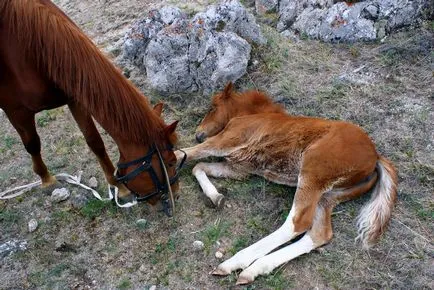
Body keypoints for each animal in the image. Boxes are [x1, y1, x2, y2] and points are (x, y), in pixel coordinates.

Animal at [0, 1, 180, 207]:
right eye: (171, 162)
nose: (176, 195)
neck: (33, 52)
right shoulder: (17, 111)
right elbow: (33, 144)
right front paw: (46, 179)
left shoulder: (75, 97)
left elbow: (95, 142)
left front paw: (121, 188)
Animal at [178, 82, 398, 284]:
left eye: (212, 107)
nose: (198, 133)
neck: (251, 114)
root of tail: (376, 156)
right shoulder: (240, 169)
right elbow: (198, 167)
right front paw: (216, 197)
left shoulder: (226, 141)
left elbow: (186, 154)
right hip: (329, 195)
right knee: (320, 233)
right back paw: (255, 269)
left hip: (313, 171)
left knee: (298, 222)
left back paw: (235, 263)